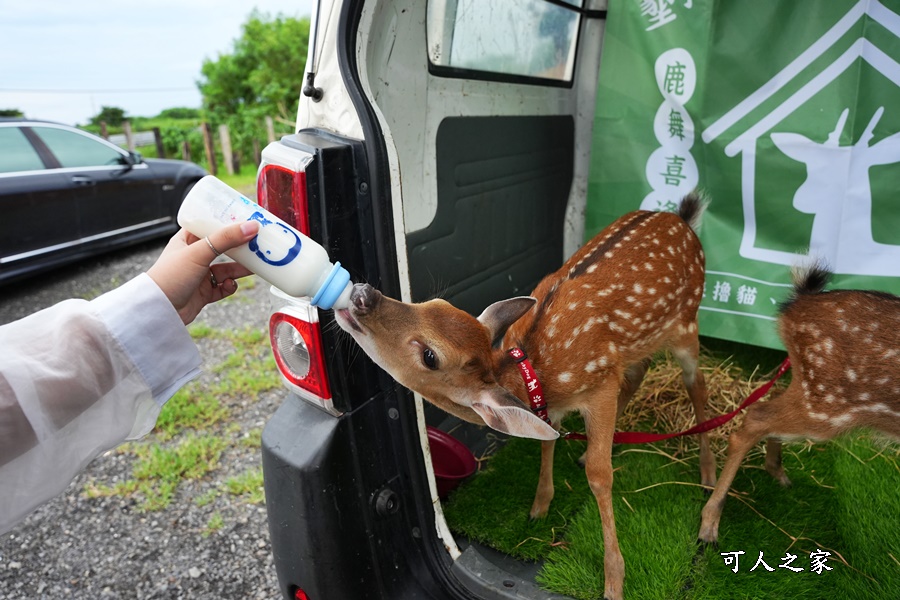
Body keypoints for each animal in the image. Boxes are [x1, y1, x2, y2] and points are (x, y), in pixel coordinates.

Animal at [338, 196, 716, 600]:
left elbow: (601, 477)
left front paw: (614, 580)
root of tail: (682, 218)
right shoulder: (562, 400)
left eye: (430, 356)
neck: (539, 374)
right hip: (643, 342)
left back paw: (708, 473)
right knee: (639, 372)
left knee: (697, 384)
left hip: (687, 322)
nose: (363, 296)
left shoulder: (599, 386)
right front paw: (539, 506)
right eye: (432, 303)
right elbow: (548, 440)